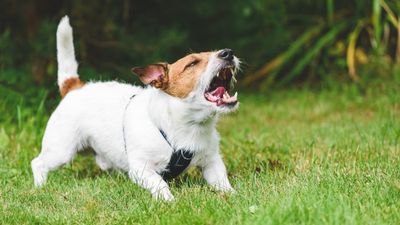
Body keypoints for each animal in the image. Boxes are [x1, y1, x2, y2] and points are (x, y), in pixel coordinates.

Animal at [31, 16, 241, 201]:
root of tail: (75, 86)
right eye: (192, 63)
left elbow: (222, 181)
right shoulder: (142, 168)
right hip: (61, 151)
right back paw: (41, 186)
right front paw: (168, 200)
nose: (228, 52)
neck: (188, 126)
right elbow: (159, 182)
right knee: (38, 163)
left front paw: (233, 196)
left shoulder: (211, 161)